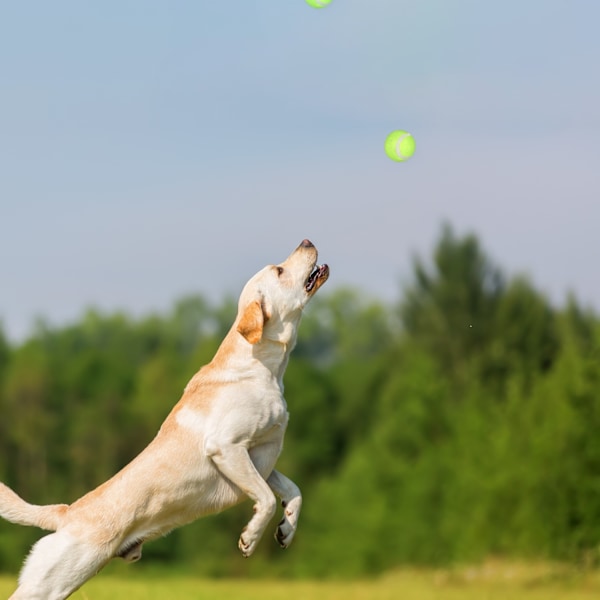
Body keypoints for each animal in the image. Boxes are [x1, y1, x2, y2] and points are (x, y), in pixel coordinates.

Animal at [0, 239, 330, 600]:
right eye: (280, 271)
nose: (307, 241)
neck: (262, 368)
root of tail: (65, 512)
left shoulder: (261, 456)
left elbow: (293, 490)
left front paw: (286, 529)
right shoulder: (227, 448)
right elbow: (268, 499)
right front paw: (250, 537)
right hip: (51, 582)